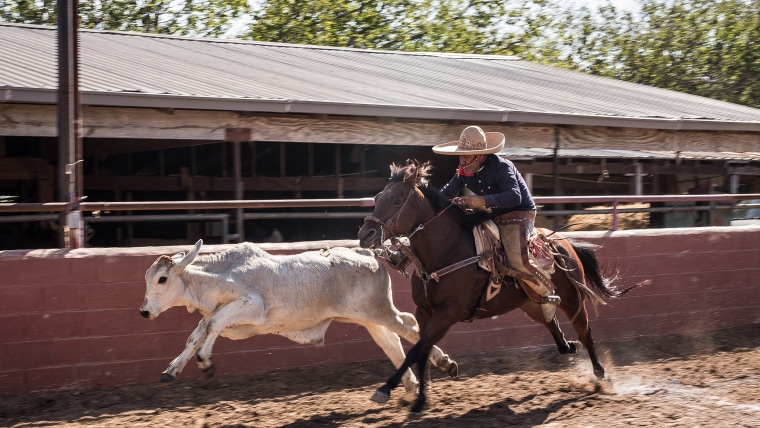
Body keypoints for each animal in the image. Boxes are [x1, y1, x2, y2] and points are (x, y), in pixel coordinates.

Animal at [140, 239, 458, 392]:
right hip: (369, 317)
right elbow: (196, 334)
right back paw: (409, 387)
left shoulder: (251, 306)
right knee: (391, 341)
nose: (144, 311)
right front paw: (171, 370)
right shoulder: (214, 316)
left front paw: (206, 363)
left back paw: (445, 363)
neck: (219, 275)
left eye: (162, 279)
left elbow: (213, 326)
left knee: (409, 325)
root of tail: (369, 254)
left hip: (380, 310)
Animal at [356, 159, 636, 412]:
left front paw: (385, 389)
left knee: (585, 331)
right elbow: (422, 351)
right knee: (550, 320)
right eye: (378, 196)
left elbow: (417, 350)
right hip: (530, 302)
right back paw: (568, 346)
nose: (365, 234)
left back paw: (601, 375)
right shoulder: (424, 312)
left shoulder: (447, 314)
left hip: (572, 297)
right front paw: (422, 399)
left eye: (396, 200)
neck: (447, 251)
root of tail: (564, 243)